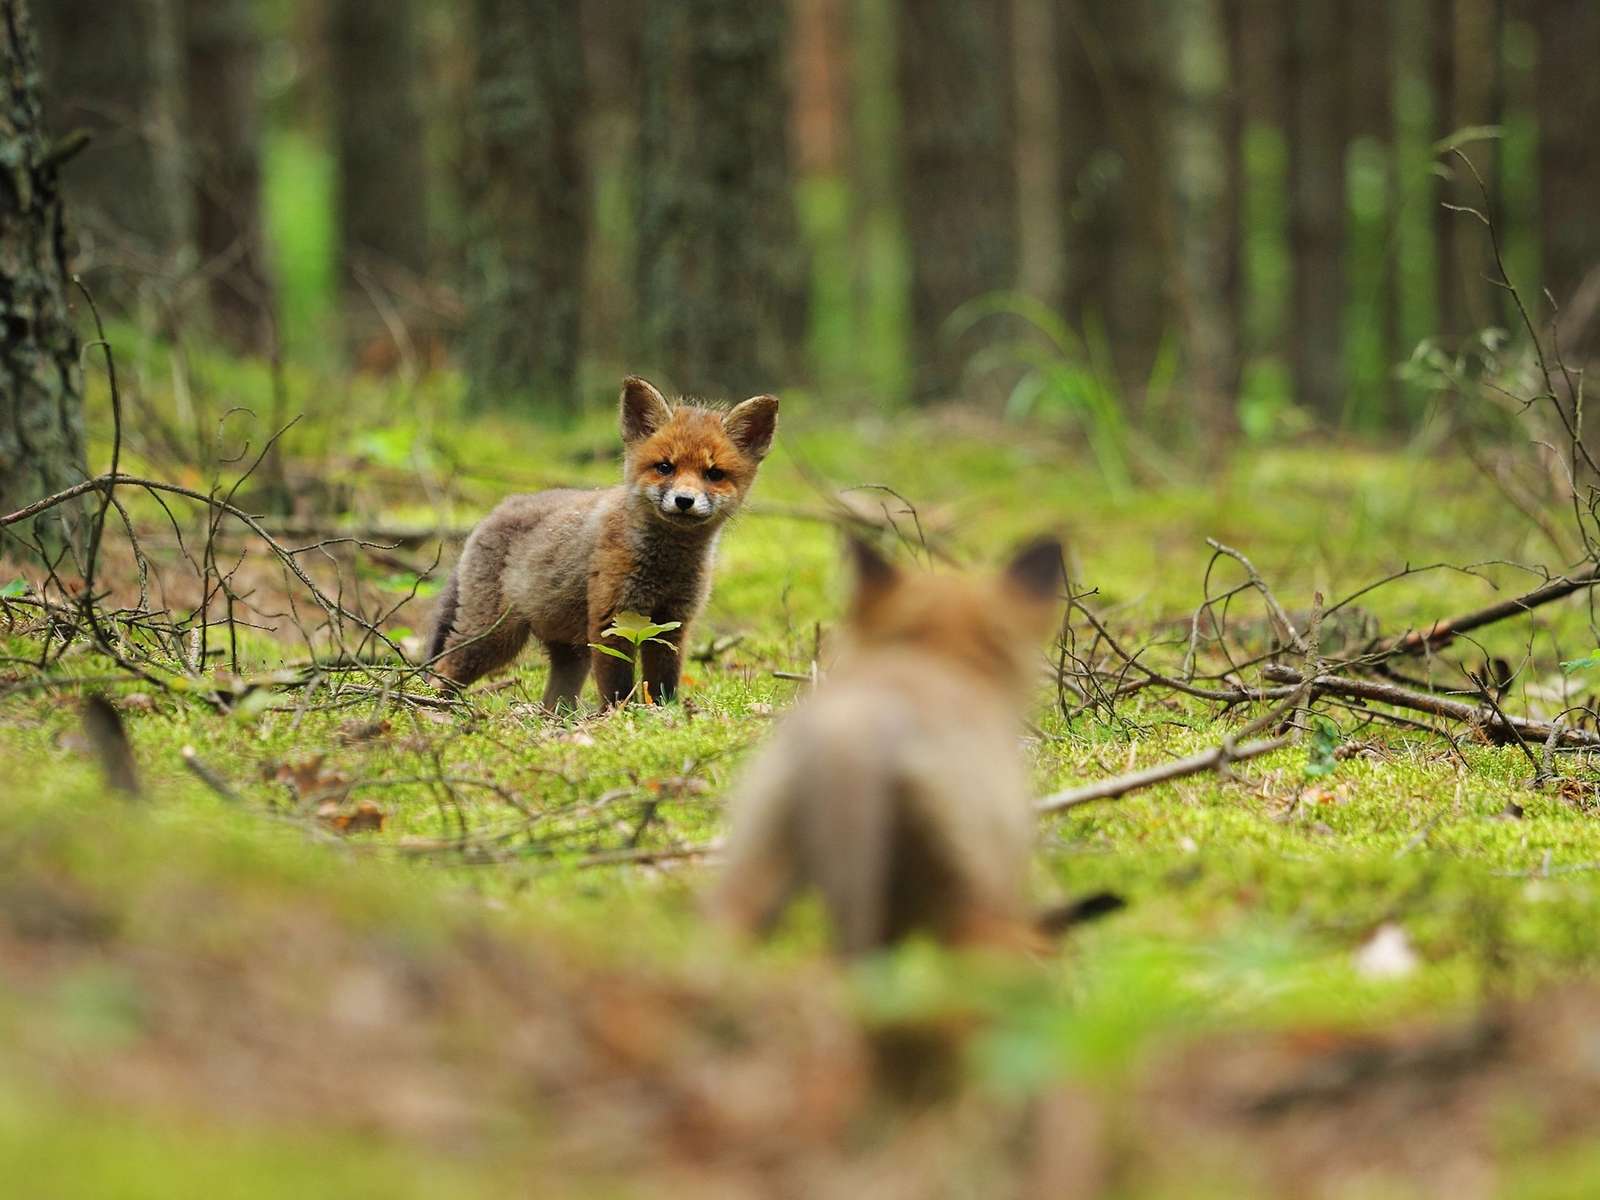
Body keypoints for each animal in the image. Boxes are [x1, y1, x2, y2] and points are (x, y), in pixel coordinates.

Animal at [426, 376, 778, 705]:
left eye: (714, 474)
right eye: (665, 467)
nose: (684, 500)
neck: (667, 565)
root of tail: (495, 511)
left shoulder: (672, 623)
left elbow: (663, 683)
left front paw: (664, 714)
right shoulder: (611, 618)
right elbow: (616, 685)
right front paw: (618, 716)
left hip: (570, 652)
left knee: (554, 701)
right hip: (494, 637)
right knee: (443, 670)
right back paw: (436, 706)